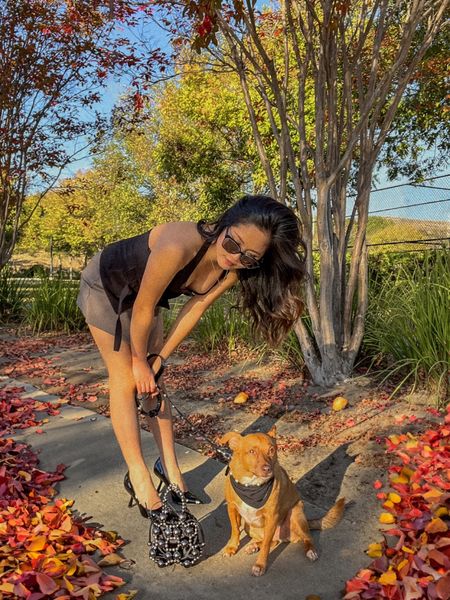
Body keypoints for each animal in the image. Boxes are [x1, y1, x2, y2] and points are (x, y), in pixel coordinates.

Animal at [221, 426, 344, 576]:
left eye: (271, 450)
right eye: (251, 451)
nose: (267, 469)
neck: (252, 485)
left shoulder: (272, 516)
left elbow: (266, 545)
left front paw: (260, 565)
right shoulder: (232, 508)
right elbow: (235, 530)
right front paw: (232, 547)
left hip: (295, 514)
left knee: (305, 537)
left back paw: (311, 551)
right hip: (248, 526)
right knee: (272, 541)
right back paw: (254, 546)